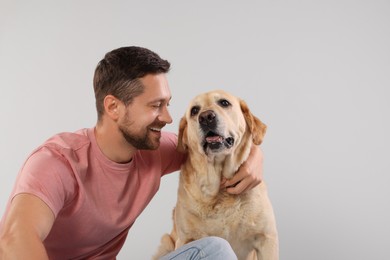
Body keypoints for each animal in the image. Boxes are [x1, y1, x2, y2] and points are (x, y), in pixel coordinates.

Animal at [154, 90, 278, 260]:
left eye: (224, 103)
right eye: (194, 111)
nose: (206, 117)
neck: (220, 189)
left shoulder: (266, 238)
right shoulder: (186, 239)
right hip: (166, 242)